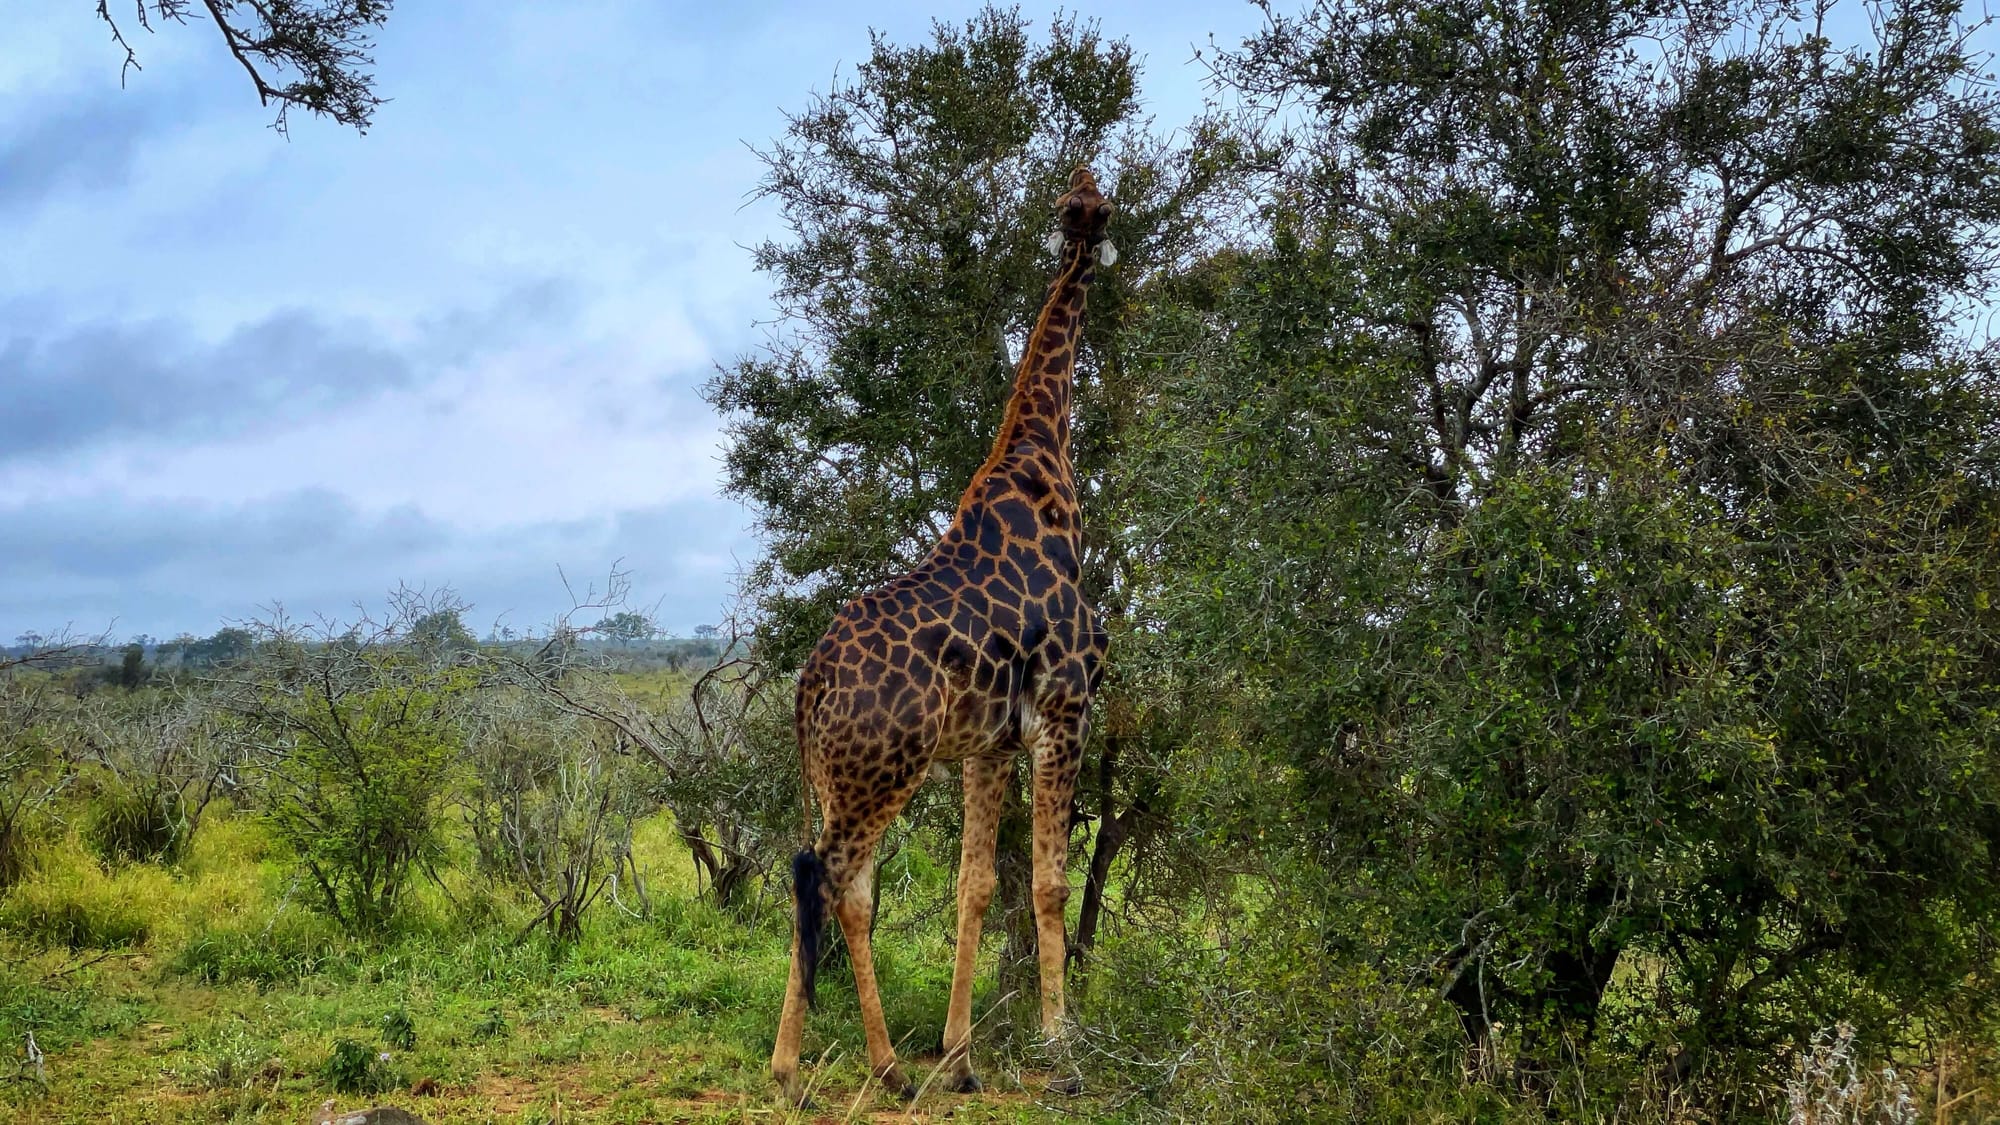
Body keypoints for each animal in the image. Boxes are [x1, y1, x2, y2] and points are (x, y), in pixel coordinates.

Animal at [768, 166, 1120, 1104]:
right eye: (1085, 206)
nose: (1086, 227)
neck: (1046, 466)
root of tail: (808, 685)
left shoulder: (988, 743)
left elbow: (974, 885)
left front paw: (962, 1056)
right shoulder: (1065, 709)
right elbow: (1048, 882)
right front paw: (1062, 1043)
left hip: (841, 774)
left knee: (832, 883)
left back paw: (851, 1061)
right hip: (883, 770)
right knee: (828, 876)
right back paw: (834, 1066)